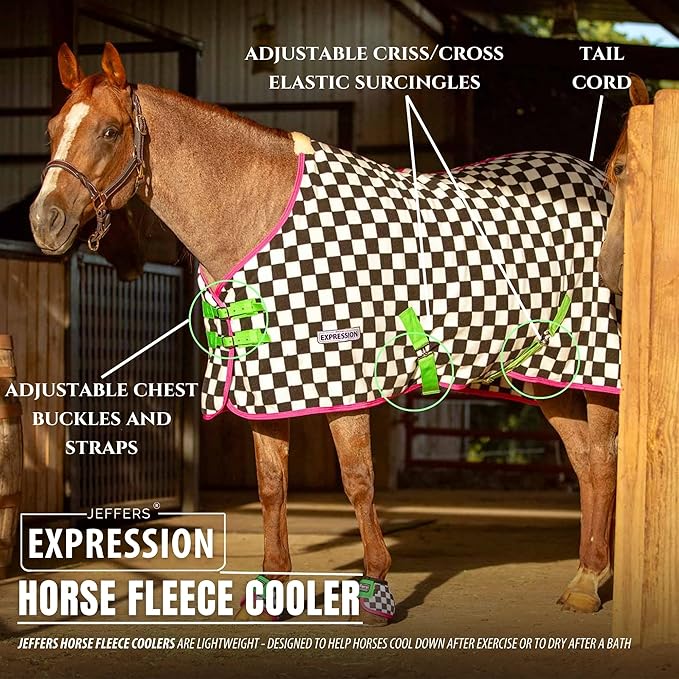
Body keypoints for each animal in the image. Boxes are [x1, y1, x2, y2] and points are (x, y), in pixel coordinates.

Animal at [29, 42, 620, 623]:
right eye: (52, 128)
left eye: (110, 130)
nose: (45, 222)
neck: (258, 218)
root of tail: (599, 180)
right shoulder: (265, 389)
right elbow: (271, 487)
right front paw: (270, 589)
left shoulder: (344, 384)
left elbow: (357, 480)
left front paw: (376, 588)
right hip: (542, 372)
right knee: (586, 463)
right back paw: (591, 573)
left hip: (601, 362)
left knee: (604, 459)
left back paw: (588, 582)